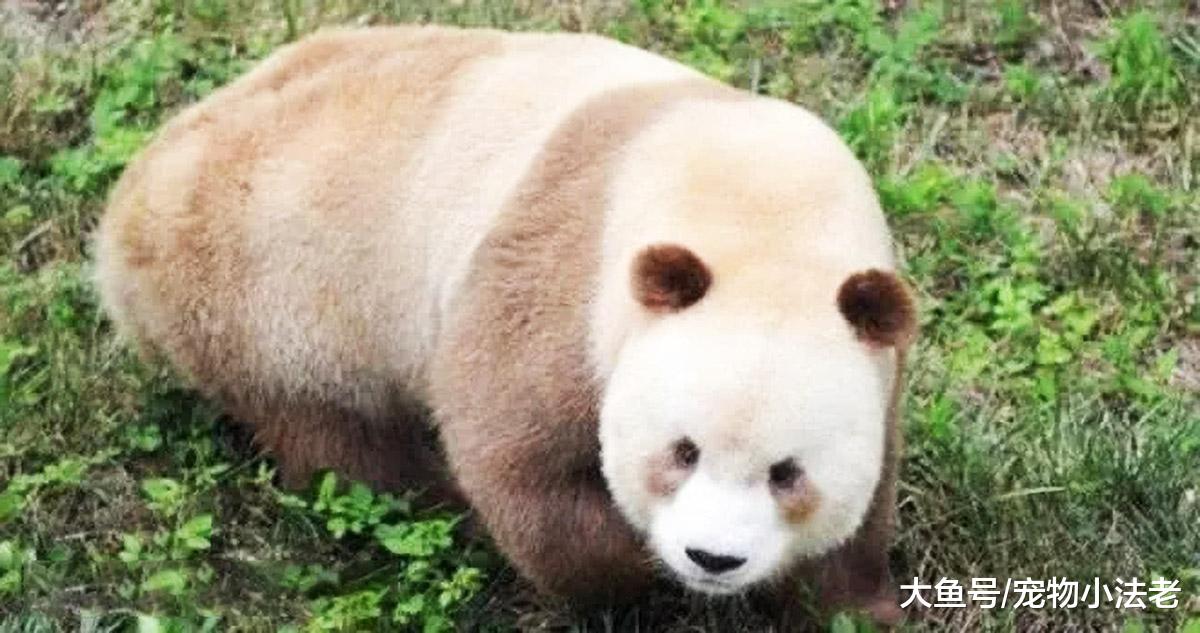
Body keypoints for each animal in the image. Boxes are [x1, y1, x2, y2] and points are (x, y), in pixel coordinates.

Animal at [93, 25, 916, 623]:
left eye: (787, 472)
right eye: (681, 451)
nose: (712, 559)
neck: (762, 216)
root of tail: (122, 220)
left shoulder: (876, 350)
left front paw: (856, 605)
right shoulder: (565, 276)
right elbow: (512, 453)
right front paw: (632, 565)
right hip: (269, 298)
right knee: (337, 440)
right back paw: (435, 496)